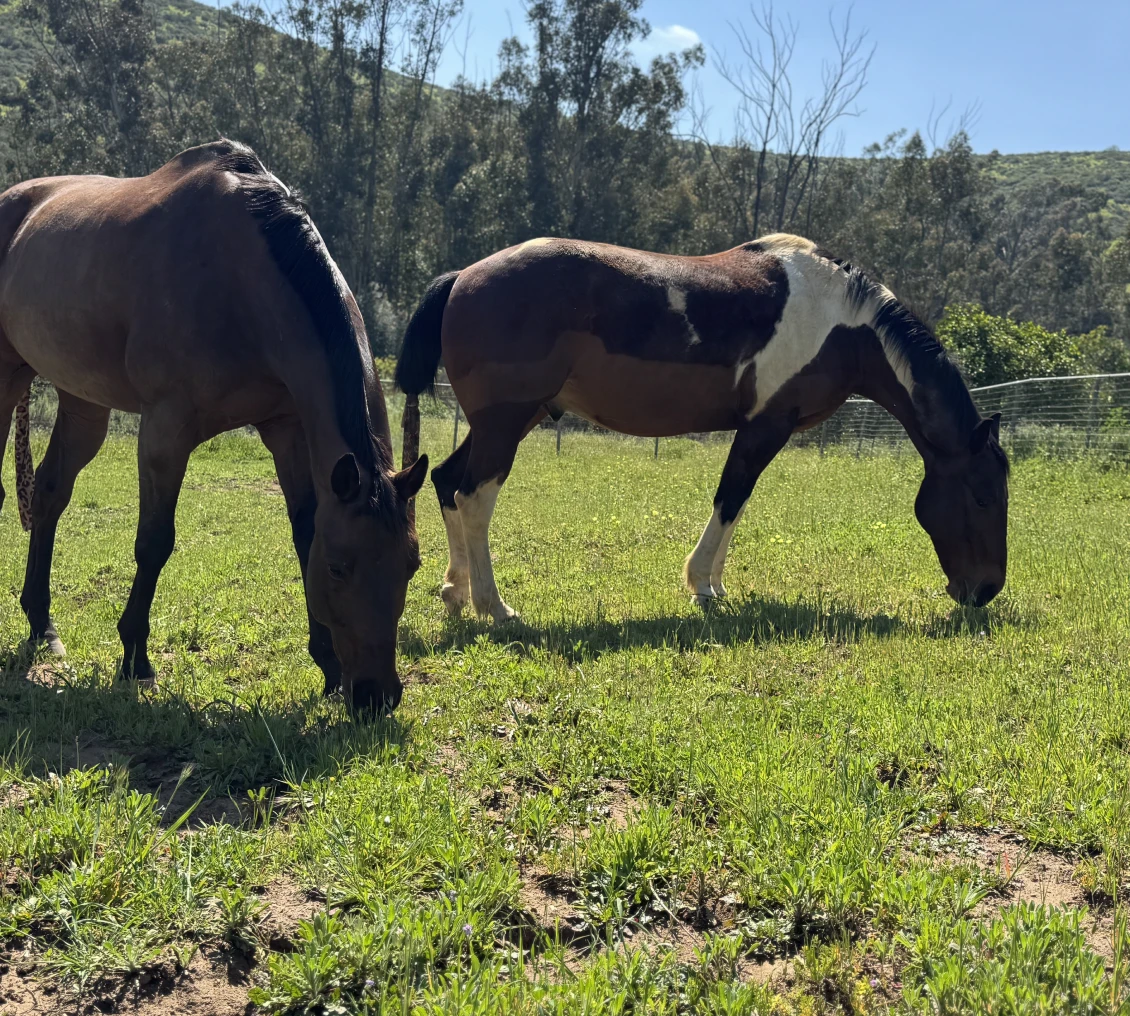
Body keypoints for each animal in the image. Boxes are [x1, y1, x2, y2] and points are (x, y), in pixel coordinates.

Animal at [0, 139, 428, 713]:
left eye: (412, 565)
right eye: (339, 568)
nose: (376, 696)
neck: (241, 280)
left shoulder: (287, 431)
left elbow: (304, 532)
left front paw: (327, 664)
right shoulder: (166, 431)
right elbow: (154, 542)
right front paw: (135, 659)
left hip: (82, 402)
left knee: (49, 493)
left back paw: (42, 625)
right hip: (6, 378)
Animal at [396, 233, 1008, 622]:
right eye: (983, 497)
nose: (986, 590)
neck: (840, 322)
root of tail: (463, 277)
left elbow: (735, 503)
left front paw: (712, 584)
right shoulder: (765, 427)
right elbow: (731, 498)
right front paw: (703, 587)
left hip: (508, 422)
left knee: (447, 482)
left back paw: (455, 591)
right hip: (504, 426)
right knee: (474, 499)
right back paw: (494, 606)